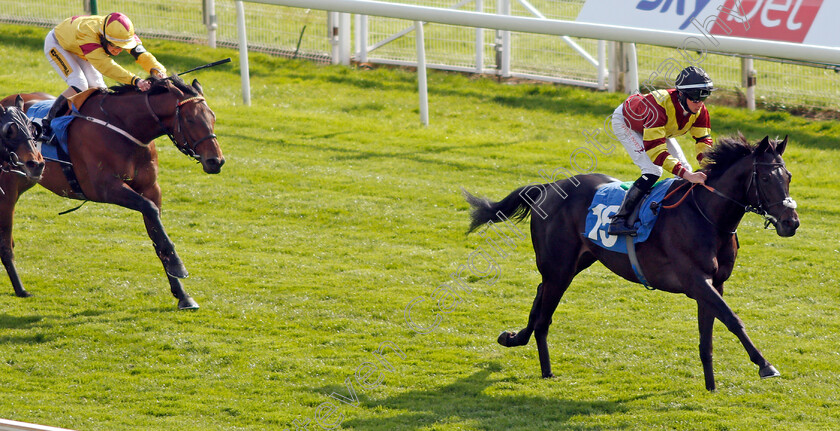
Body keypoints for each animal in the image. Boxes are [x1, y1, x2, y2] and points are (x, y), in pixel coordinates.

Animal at [0, 76, 223, 308]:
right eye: (190, 119)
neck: (126, 128)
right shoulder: (104, 188)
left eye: (213, 117)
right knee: (5, 242)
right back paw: (21, 289)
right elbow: (149, 209)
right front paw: (178, 265)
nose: (216, 161)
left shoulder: (151, 188)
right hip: (7, 190)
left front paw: (182, 294)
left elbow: (156, 232)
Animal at [466, 136, 800, 392]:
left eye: (788, 177)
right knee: (545, 313)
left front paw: (711, 386)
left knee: (539, 293)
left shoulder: (713, 283)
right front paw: (765, 365)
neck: (706, 214)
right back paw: (546, 370)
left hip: (575, 262)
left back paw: (514, 338)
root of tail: (549, 187)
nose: (791, 222)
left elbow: (708, 337)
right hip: (559, 268)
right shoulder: (696, 281)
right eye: (766, 178)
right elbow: (733, 319)